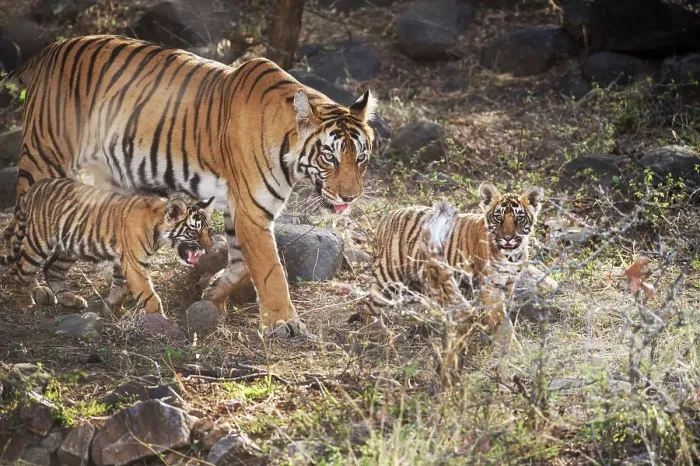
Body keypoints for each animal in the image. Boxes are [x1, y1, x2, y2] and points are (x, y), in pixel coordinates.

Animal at [1, 177, 213, 317]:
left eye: (207, 232)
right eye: (194, 232)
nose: (209, 250)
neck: (158, 230)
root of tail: (36, 185)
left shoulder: (122, 263)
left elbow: (120, 288)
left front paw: (113, 310)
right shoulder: (135, 265)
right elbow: (149, 295)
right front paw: (160, 321)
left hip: (68, 248)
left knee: (52, 270)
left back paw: (70, 300)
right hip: (38, 242)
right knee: (20, 268)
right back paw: (24, 302)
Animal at [351, 182, 544, 335]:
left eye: (519, 219)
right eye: (499, 218)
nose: (508, 238)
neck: (512, 255)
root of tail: (387, 216)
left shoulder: (508, 284)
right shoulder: (491, 287)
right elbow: (502, 323)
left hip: (413, 282)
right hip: (391, 277)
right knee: (367, 303)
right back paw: (378, 333)